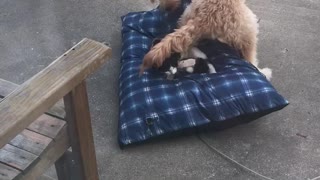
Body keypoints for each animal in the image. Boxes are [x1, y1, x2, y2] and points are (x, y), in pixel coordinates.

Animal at [141, 0, 272, 79]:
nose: (167, 9)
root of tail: (205, 17)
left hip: (186, 15)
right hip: (249, 30)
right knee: (250, 59)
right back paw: (264, 72)